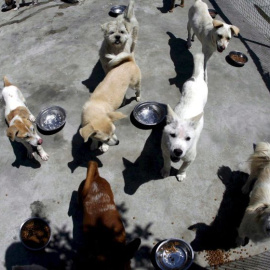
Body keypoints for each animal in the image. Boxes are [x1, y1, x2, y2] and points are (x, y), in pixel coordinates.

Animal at [161, 53, 208, 181]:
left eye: (188, 138)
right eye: (172, 135)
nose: (177, 151)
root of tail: (197, 78)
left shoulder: (190, 158)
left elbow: (184, 166)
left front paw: (181, 174)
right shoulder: (165, 151)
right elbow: (166, 162)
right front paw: (166, 171)